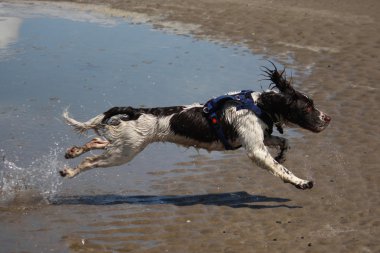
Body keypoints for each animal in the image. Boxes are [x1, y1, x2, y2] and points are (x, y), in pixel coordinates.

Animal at [60, 65, 332, 190]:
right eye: (308, 107)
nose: (328, 118)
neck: (258, 104)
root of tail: (137, 111)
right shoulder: (255, 149)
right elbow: (281, 168)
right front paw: (301, 182)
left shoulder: (256, 140)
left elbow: (284, 142)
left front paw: (283, 153)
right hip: (125, 152)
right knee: (90, 162)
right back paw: (69, 171)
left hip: (124, 145)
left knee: (98, 140)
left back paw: (73, 151)